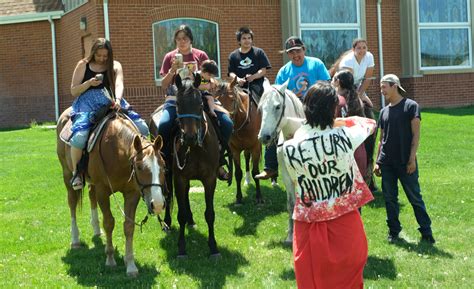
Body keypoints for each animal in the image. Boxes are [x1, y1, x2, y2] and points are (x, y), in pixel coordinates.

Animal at [57, 108, 166, 276]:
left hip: (92, 183)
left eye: (164, 166)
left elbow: (129, 226)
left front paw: (130, 265)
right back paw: (75, 239)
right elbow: (109, 223)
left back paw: (96, 230)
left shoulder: (132, 193)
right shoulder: (103, 191)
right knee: (72, 203)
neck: (116, 149)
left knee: (91, 196)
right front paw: (110, 259)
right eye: (140, 167)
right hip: (67, 175)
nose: (158, 205)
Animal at [172, 72, 220, 256]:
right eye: (178, 104)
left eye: (200, 104)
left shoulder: (210, 179)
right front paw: (181, 248)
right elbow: (180, 214)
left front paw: (213, 247)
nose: (190, 137)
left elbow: (210, 213)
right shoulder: (179, 178)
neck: (195, 149)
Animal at [215, 75, 262, 204]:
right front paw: (239, 198)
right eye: (215, 100)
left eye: (232, 100)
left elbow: (256, 172)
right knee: (246, 157)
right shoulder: (234, 150)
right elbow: (237, 173)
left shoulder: (256, 148)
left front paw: (259, 197)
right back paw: (247, 180)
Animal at [258, 80, 306, 244]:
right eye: (260, 108)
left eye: (278, 106)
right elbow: (291, 204)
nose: (264, 136)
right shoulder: (286, 176)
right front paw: (291, 236)